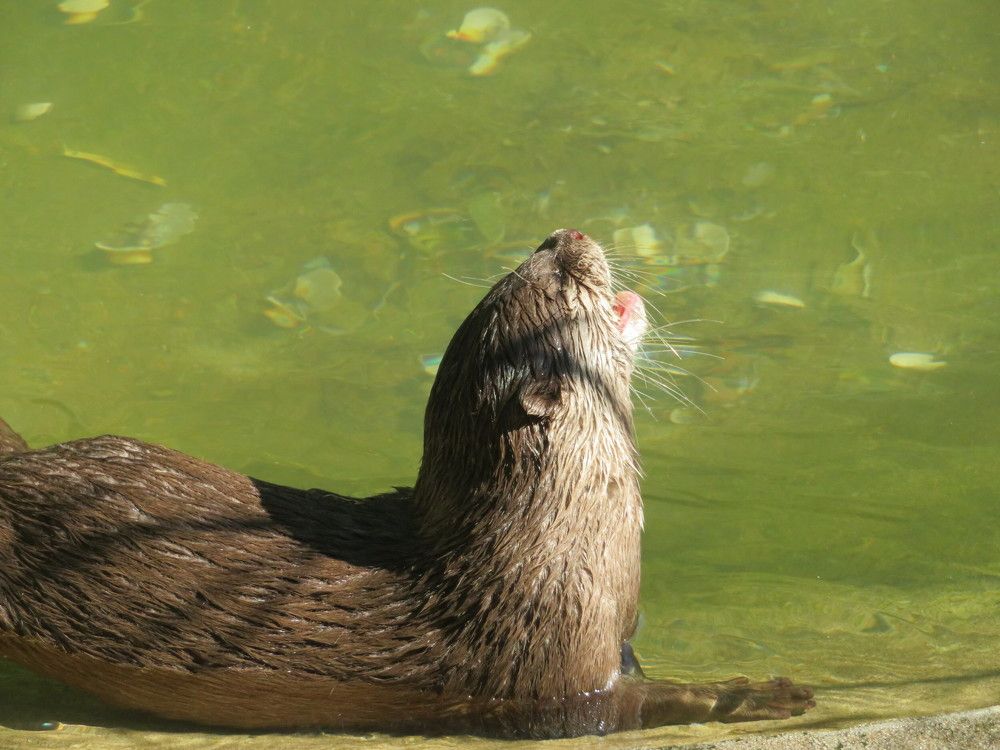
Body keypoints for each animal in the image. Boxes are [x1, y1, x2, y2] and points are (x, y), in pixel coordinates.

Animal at [0, 229, 813, 738]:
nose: (565, 234)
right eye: (558, 281)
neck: (550, 543)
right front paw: (760, 694)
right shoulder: (558, 671)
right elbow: (641, 706)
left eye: (529, 261)